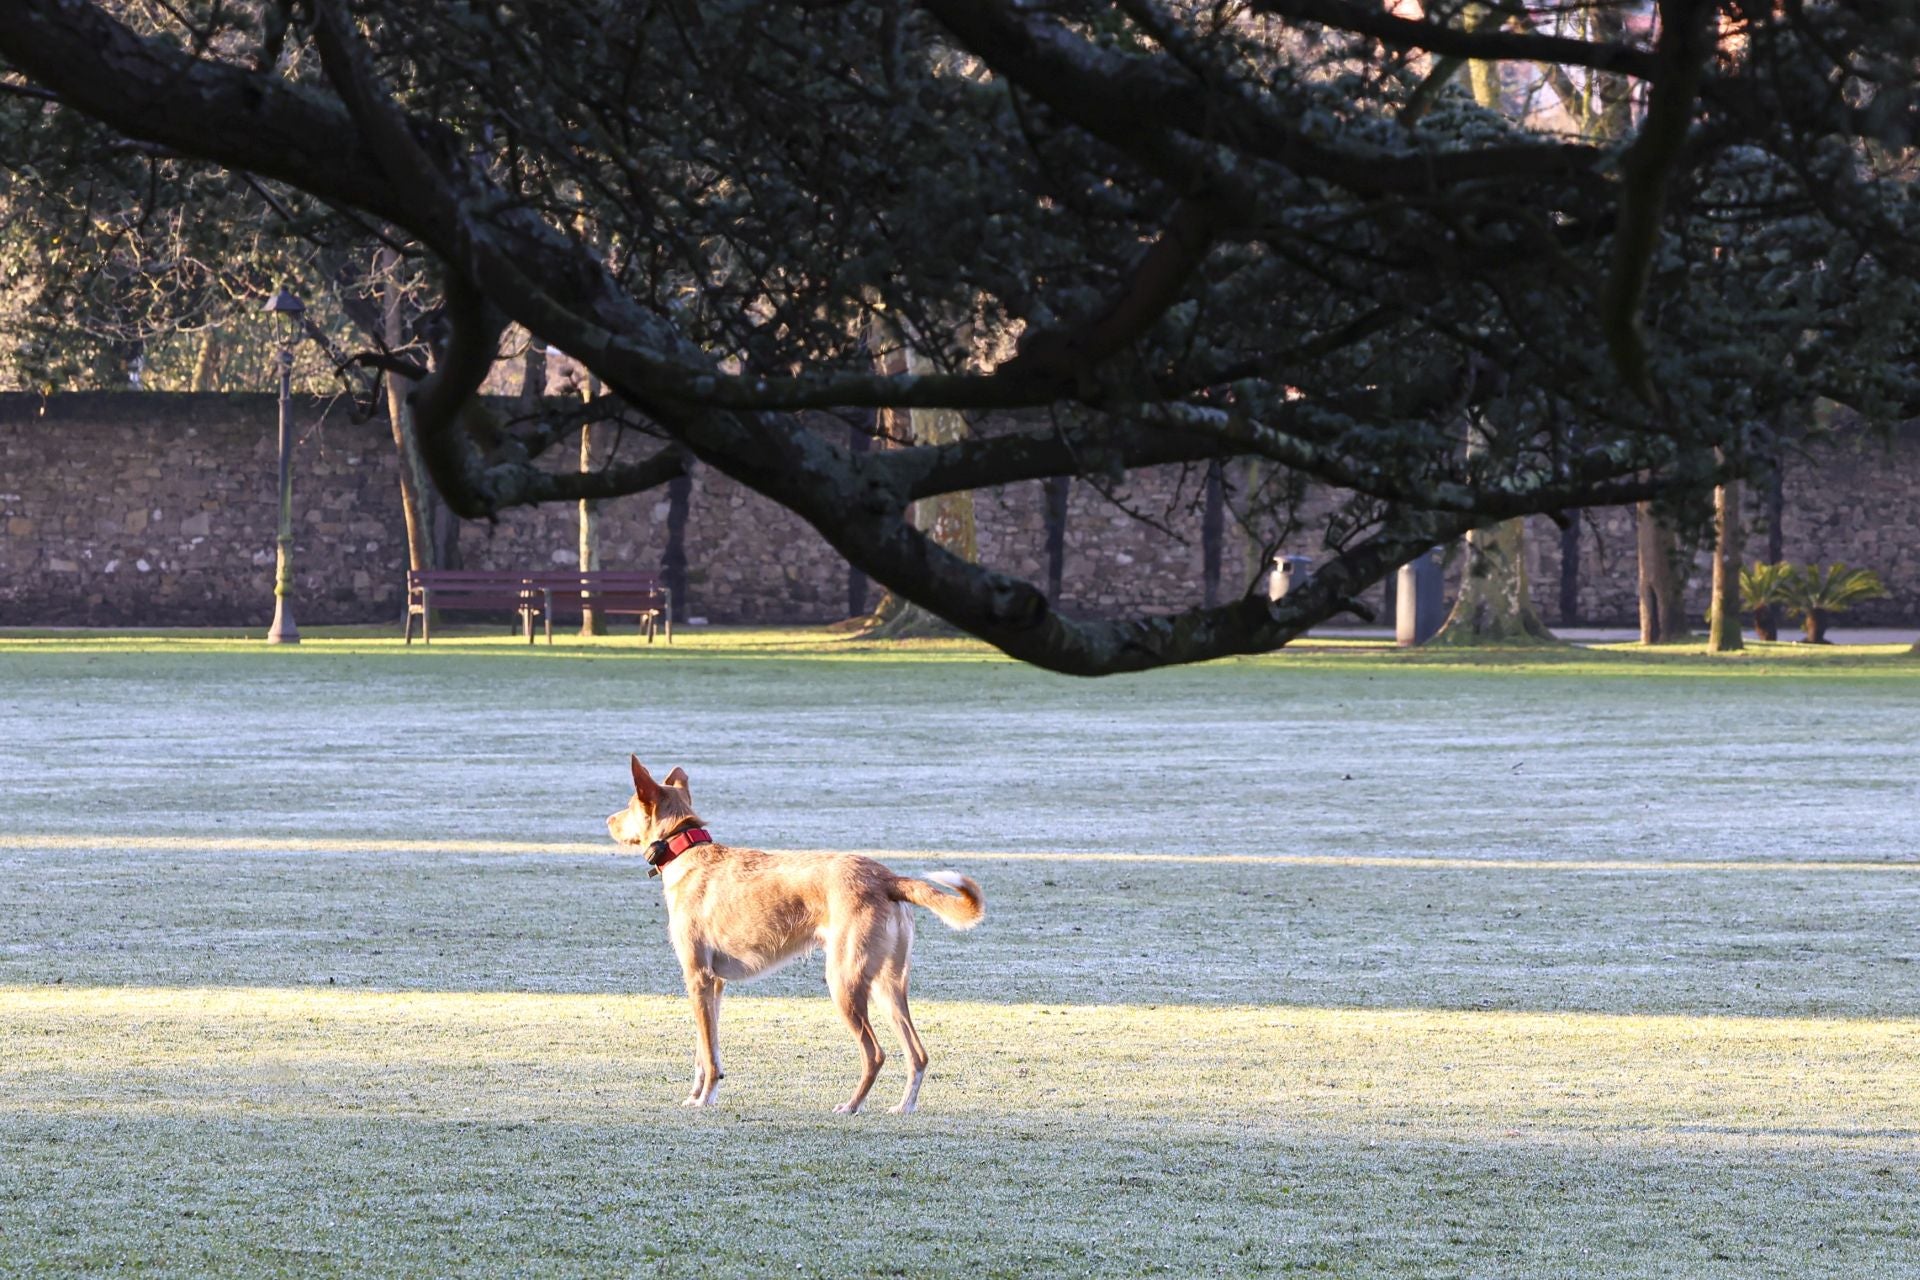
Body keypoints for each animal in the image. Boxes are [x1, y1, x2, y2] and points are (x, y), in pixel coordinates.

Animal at [606, 759, 983, 1113]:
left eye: (628, 804)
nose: (608, 820)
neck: (686, 851)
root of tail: (886, 876)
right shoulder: (714, 985)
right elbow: (705, 1051)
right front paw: (700, 1095)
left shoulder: (698, 978)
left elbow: (709, 1057)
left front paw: (704, 1100)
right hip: (887, 986)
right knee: (918, 1054)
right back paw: (904, 1106)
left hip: (844, 983)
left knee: (875, 1054)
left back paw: (851, 1106)